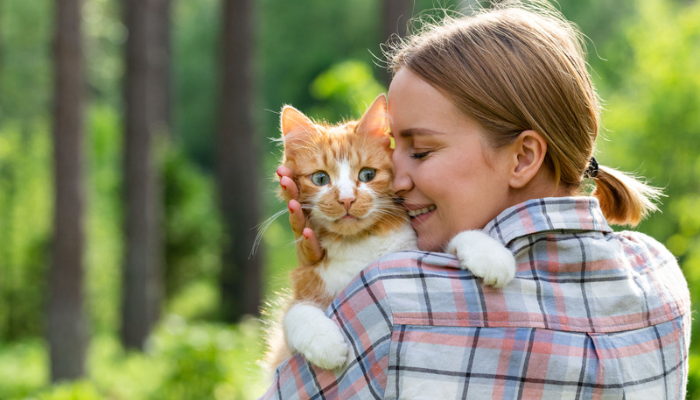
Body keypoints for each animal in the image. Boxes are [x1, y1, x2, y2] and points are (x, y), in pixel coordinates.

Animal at [266, 94, 516, 372]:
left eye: (367, 174)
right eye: (320, 179)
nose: (347, 199)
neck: (360, 244)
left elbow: (457, 238)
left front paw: (491, 255)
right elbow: (295, 314)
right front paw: (326, 344)